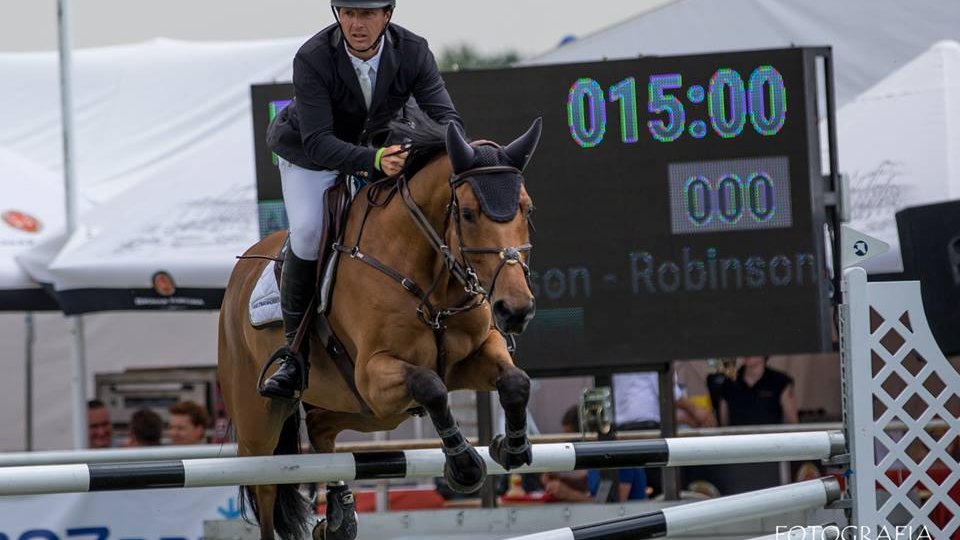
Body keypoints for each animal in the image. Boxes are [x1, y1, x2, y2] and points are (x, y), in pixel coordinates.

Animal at [220, 115, 544, 540]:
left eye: (527, 209)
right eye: (468, 214)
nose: (515, 309)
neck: (431, 278)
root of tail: (238, 277)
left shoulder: (470, 357)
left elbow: (516, 382)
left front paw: (512, 446)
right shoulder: (375, 371)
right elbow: (430, 385)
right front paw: (464, 466)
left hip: (369, 409)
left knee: (321, 427)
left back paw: (340, 516)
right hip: (261, 425)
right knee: (267, 489)